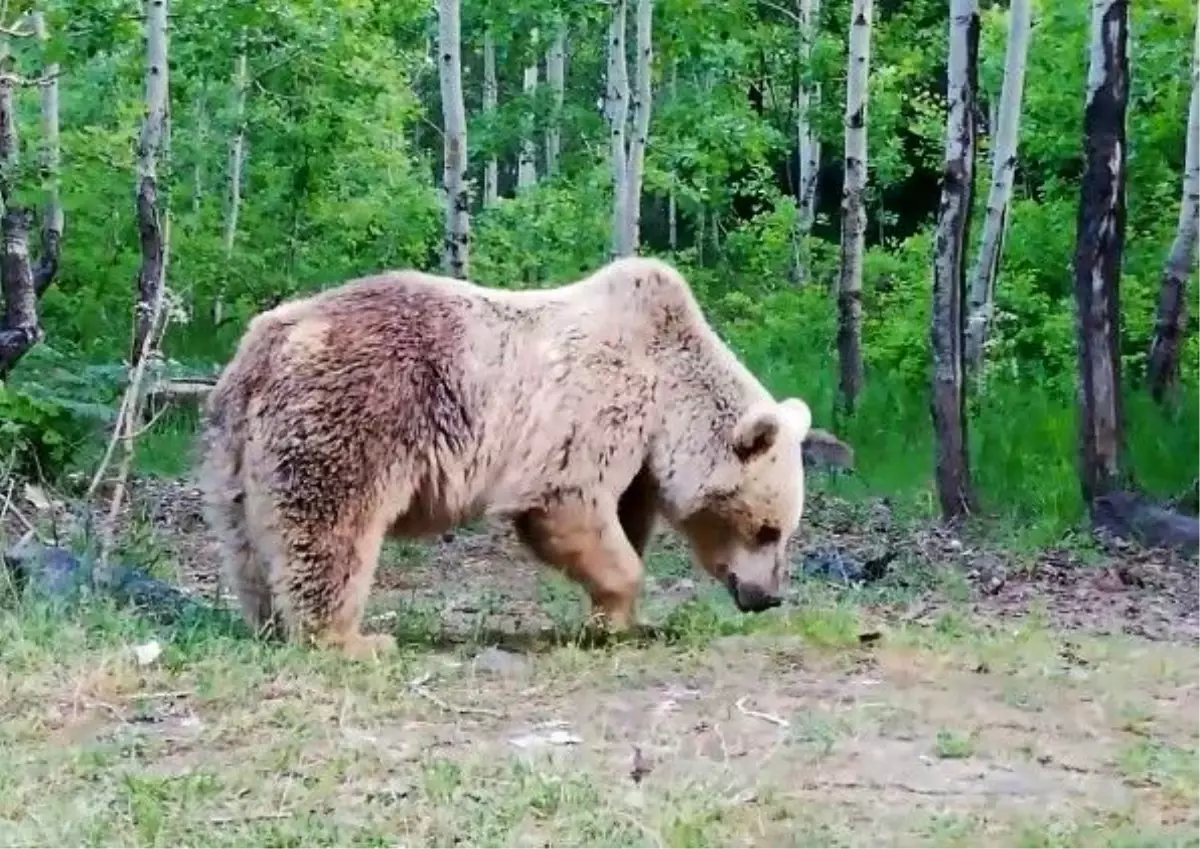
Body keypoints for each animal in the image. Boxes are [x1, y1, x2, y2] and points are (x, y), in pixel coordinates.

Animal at [199, 255, 825, 661]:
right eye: (767, 529)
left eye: (784, 530)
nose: (769, 596)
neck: (667, 391)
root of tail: (263, 346)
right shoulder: (589, 409)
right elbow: (566, 504)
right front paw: (619, 609)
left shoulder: (639, 457)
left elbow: (625, 517)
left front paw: (620, 620)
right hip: (356, 415)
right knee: (332, 528)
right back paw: (352, 640)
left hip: (231, 453)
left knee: (249, 542)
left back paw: (269, 622)